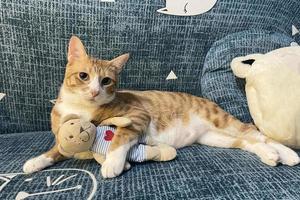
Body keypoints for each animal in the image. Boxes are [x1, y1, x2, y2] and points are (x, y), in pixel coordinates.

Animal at [23, 36, 300, 178]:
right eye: (83, 76)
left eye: (106, 81)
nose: (94, 91)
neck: (81, 108)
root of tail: (208, 100)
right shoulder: (63, 136)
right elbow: (56, 150)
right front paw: (36, 162)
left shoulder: (137, 116)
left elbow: (118, 138)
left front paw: (112, 163)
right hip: (215, 138)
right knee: (248, 143)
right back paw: (271, 155)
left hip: (223, 123)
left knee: (258, 134)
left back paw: (287, 154)